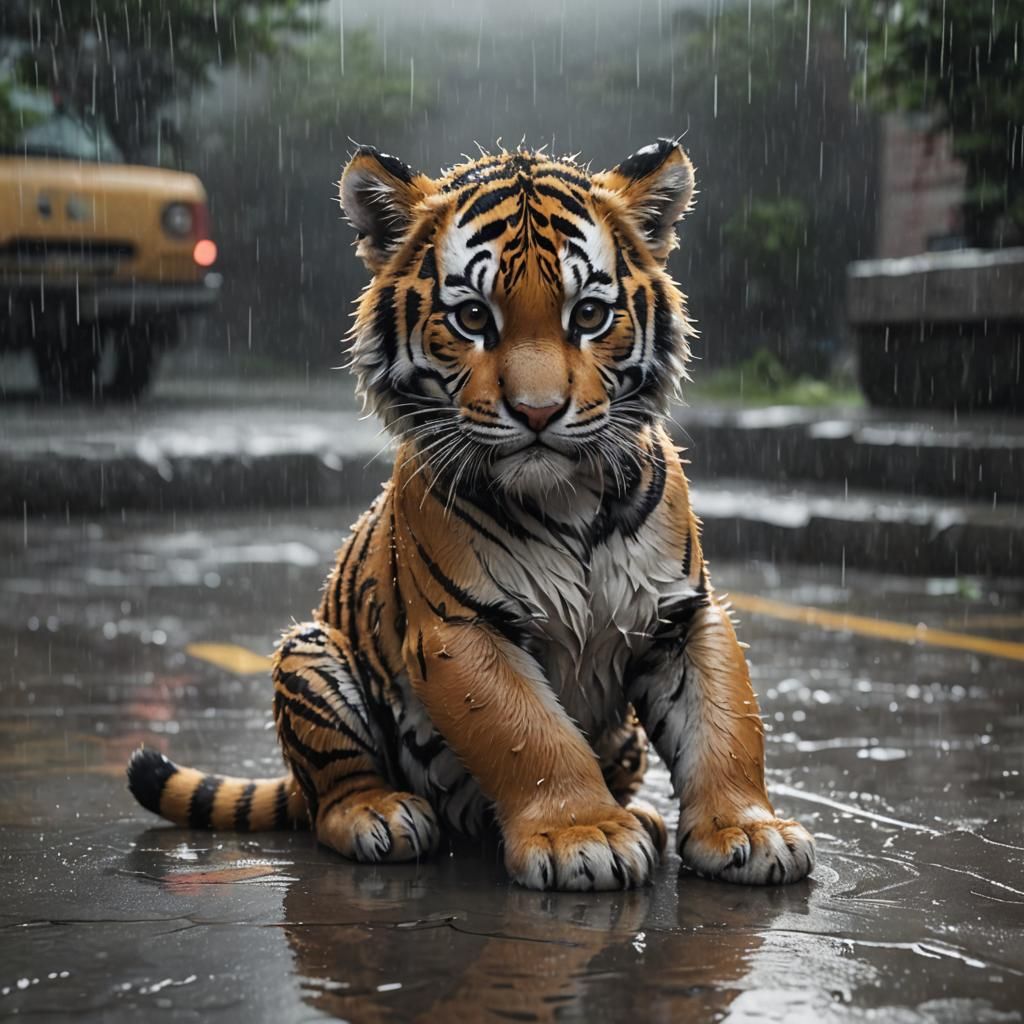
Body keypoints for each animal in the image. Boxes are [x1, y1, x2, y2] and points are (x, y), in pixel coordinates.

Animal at [127, 139, 815, 891]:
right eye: (475, 319)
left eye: (588, 316)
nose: (539, 413)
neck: (568, 496)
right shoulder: (461, 627)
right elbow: (532, 736)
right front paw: (585, 834)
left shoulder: (683, 614)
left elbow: (725, 724)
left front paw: (746, 830)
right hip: (308, 653)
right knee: (329, 794)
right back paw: (379, 815)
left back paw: (645, 816)